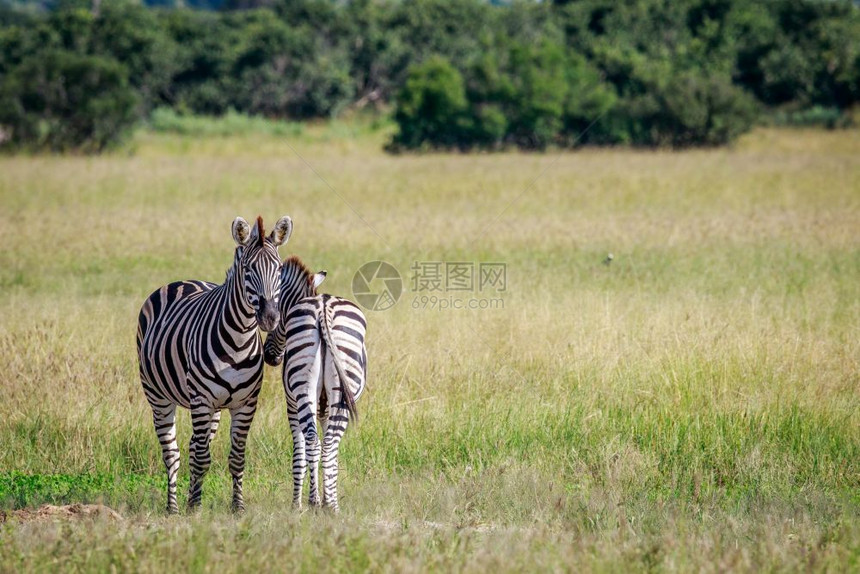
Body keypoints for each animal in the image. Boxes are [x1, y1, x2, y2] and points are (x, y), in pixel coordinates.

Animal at [138, 217, 292, 516]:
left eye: (279, 269)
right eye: (247, 269)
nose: (270, 318)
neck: (239, 339)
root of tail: (183, 281)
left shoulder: (245, 404)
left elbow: (237, 457)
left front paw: (237, 506)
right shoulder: (201, 400)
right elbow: (201, 458)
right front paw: (195, 508)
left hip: (216, 409)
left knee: (193, 446)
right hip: (159, 397)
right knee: (173, 454)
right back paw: (174, 507)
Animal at [264, 258, 368, 512]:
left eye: (275, 317)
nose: (268, 357)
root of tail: (323, 307)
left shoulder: (295, 405)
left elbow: (301, 453)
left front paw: (301, 502)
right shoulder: (321, 406)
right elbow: (319, 453)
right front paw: (319, 496)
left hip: (305, 391)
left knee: (316, 442)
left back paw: (318, 503)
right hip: (337, 392)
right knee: (327, 443)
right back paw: (329, 505)